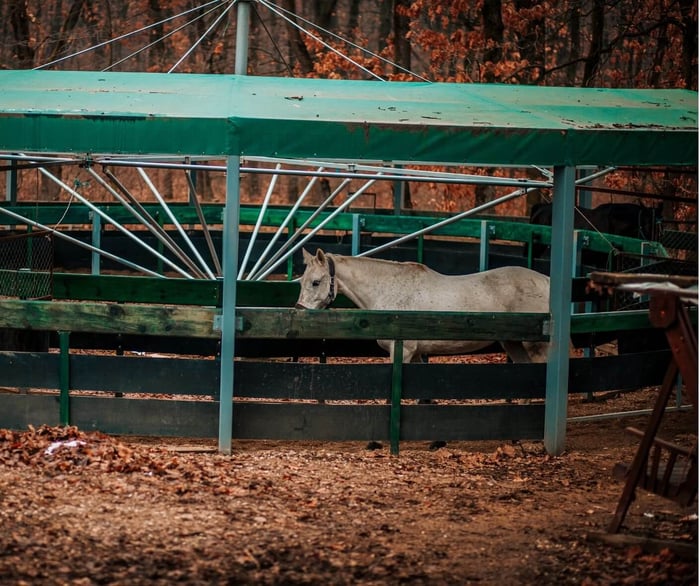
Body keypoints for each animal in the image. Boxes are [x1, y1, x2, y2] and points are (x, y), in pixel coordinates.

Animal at [295, 248, 551, 364]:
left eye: (315, 282)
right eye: (301, 281)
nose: (299, 311)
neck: (389, 289)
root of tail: (547, 281)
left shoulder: (403, 351)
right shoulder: (416, 353)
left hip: (536, 349)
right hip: (514, 345)